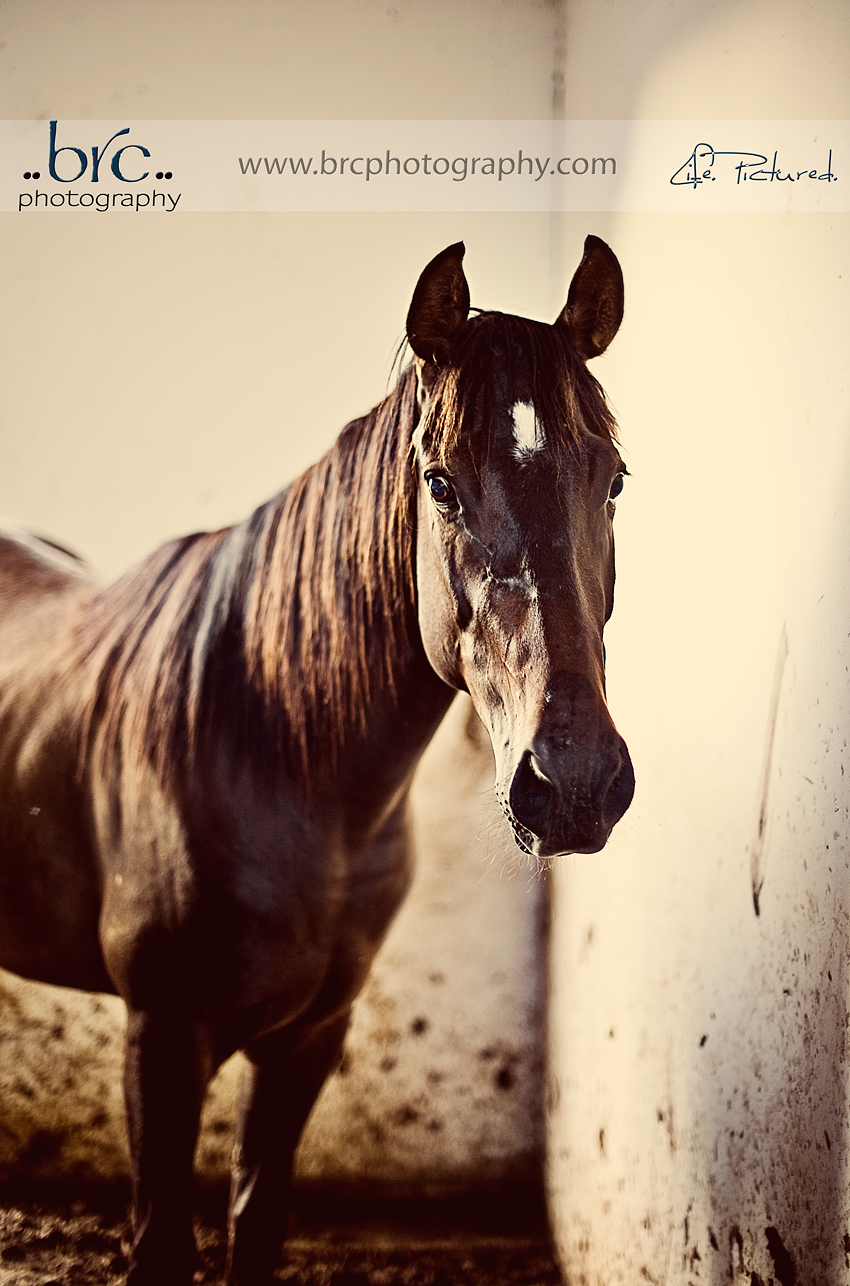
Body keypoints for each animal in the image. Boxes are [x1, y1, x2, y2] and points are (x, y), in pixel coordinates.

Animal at [0, 236, 634, 1285]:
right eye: (440, 484)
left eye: (614, 479)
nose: (573, 784)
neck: (281, 766)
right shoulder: (162, 1040)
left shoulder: (307, 1039)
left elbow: (256, 1220)